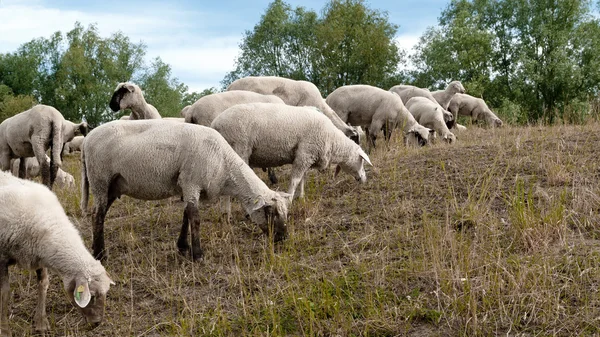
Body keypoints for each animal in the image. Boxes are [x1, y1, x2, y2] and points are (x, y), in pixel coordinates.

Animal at [0, 169, 114, 334]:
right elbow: (4, 293)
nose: (97, 323)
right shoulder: (2, 258)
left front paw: (41, 322)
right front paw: (4, 330)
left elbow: (43, 284)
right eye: (91, 296)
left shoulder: (39, 255)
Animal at [81, 119, 292, 262]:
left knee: (99, 214)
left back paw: (95, 249)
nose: (283, 238)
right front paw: (197, 254)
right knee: (97, 215)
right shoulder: (191, 181)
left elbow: (185, 215)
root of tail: (86, 140)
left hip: (112, 186)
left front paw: (183, 247)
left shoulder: (188, 186)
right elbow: (195, 217)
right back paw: (100, 254)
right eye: (270, 212)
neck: (224, 164)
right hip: (99, 179)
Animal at [210, 102, 370, 200]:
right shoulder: (305, 154)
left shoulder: (307, 156)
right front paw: (290, 198)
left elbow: (303, 179)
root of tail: (215, 123)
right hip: (239, 146)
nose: (364, 180)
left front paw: (301, 196)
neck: (332, 139)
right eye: (362, 161)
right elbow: (295, 180)